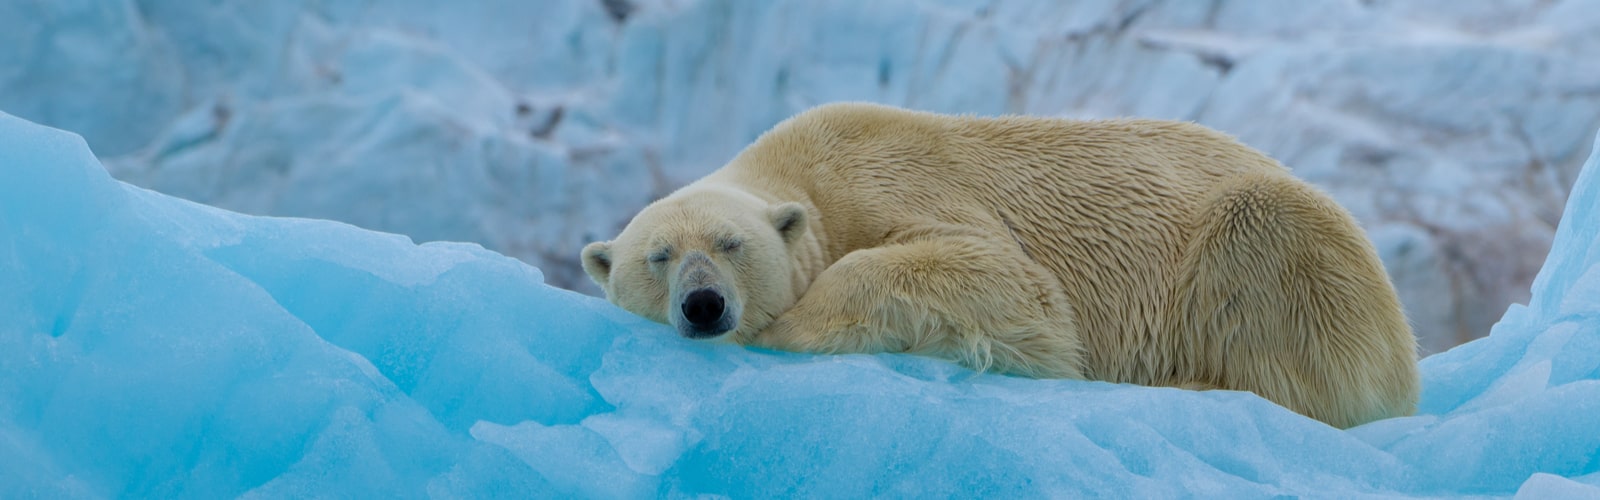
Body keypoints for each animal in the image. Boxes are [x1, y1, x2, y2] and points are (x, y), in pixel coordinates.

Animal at [581, 102, 1420, 429]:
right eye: (658, 257)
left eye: (730, 244)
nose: (704, 305)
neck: (808, 170)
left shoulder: (895, 180)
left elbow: (1004, 280)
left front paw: (789, 327)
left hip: (1288, 249)